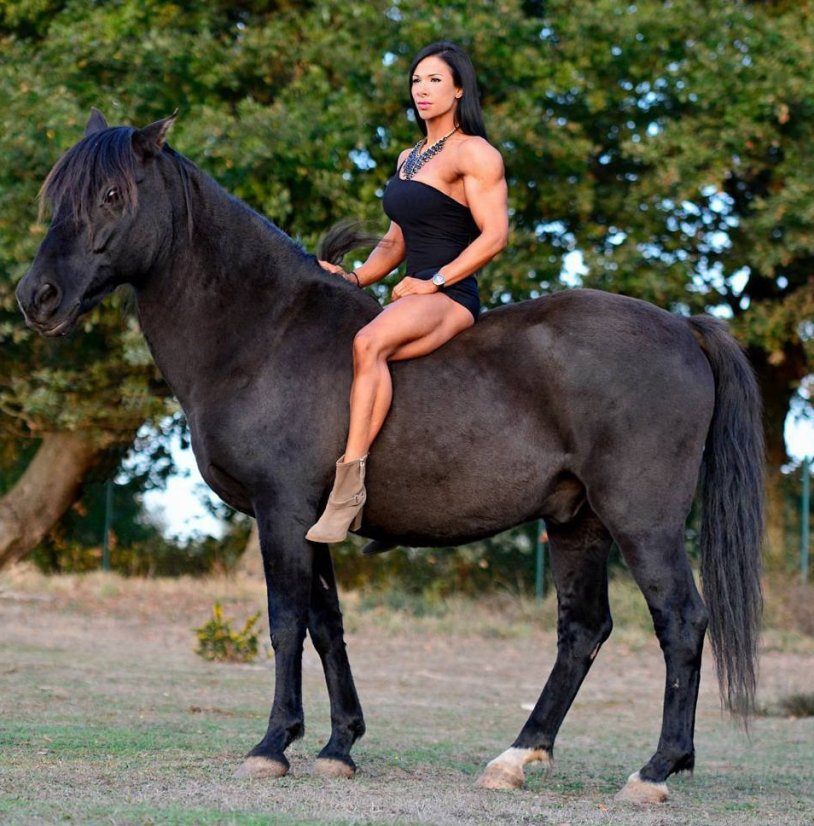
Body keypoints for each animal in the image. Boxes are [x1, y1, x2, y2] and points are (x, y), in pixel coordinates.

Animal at [16, 110, 763, 804]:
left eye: (112, 194)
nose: (36, 296)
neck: (264, 332)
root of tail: (682, 327)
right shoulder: (310, 520)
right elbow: (326, 625)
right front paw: (338, 745)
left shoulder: (280, 512)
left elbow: (286, 622)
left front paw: (272, 745)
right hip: (576, 522)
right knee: (582, 631)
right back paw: (517, 758)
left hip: (642, 521)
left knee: (681, 623)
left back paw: (656, 769)